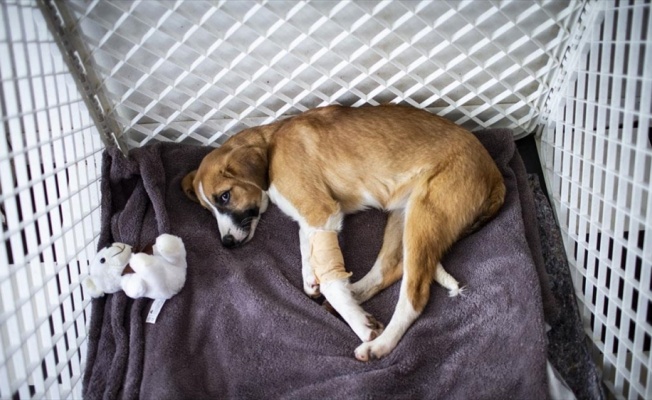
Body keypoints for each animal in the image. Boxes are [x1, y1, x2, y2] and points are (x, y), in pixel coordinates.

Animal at [181, 104, 506, 360]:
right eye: (208, 209)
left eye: (225, 196)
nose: (226, 243)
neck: (271, 145)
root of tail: (495, 173)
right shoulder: (312, 216)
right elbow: (308, 248)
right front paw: (312, 279)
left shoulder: (322, 212)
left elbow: (329, 276)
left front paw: (359, 324)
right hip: (402, 216)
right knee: (390, 268)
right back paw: (355, 295)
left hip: (424, 214)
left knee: (415, 294)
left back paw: (379, 344)